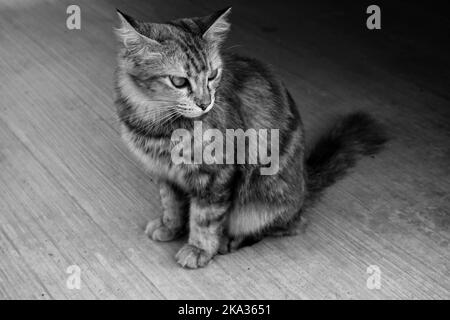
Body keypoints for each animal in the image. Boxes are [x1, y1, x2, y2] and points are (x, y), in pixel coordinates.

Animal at [113, 6, 386, 268]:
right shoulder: (165, 174)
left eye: (212, 75)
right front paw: (169, 227)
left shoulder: (215, 175)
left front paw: (199, 249)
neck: (157, 124)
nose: (205, 103)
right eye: (179, 81)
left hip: (261, 201)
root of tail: (305, 181)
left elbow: (204, 219)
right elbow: (171, 205)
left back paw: (230, 241)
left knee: (288, 226)